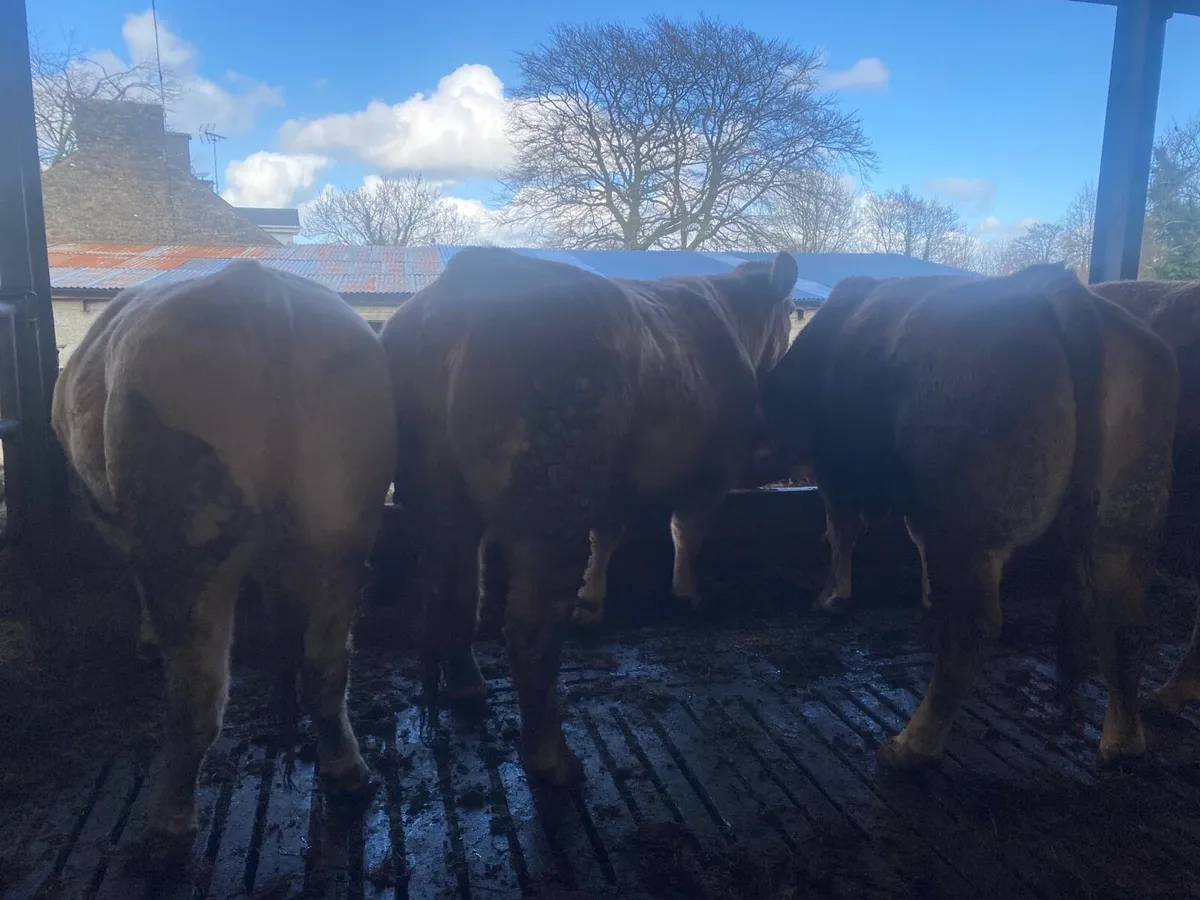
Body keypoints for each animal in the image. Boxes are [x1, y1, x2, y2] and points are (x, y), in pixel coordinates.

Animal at [52, 260, 397, 858]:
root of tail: (258, 289)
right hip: (342, 526)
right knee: (326, 667)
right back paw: (346, 773)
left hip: (189, 539)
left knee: (197, 692)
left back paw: (168, 826)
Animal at [381, 246, 797, 785]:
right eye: (791, 313)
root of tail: (466, 284)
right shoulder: (713, 469)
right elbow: (686, 531)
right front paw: (688, 594)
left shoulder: (614, 484)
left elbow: (608, 536)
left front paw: (591, 603)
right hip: (551, 499)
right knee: (529, 632)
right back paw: (551, 757)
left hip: (435, 499)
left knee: (457, 592)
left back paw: (469, 684)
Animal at [758, 264, 1178, 769]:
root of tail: (1059, 292)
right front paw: (924, 595)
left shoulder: (835, 465)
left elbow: (840, 530)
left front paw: (832, 597)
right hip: (1126, 519)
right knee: (1122, 623)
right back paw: (1122, 742)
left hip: (967, 522)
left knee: (972, 628)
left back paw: (911, 746)